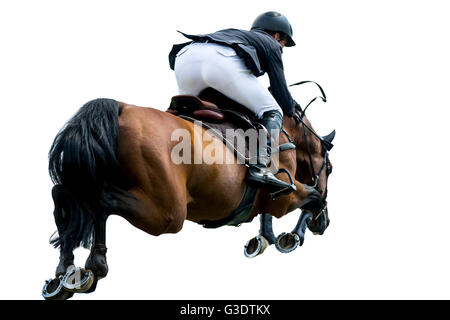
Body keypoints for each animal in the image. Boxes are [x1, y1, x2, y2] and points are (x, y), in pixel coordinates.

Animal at [43, 85, 334, 300]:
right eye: (330, 169)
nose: (324, 224)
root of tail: (120, 107)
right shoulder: (285, 196)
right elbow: (312, 197)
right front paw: (292, 236)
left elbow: (280, 210)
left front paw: (266, 238)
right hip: (168, 214)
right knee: (98, 200)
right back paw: (92, 265)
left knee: (66, 195)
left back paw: (65, 273)